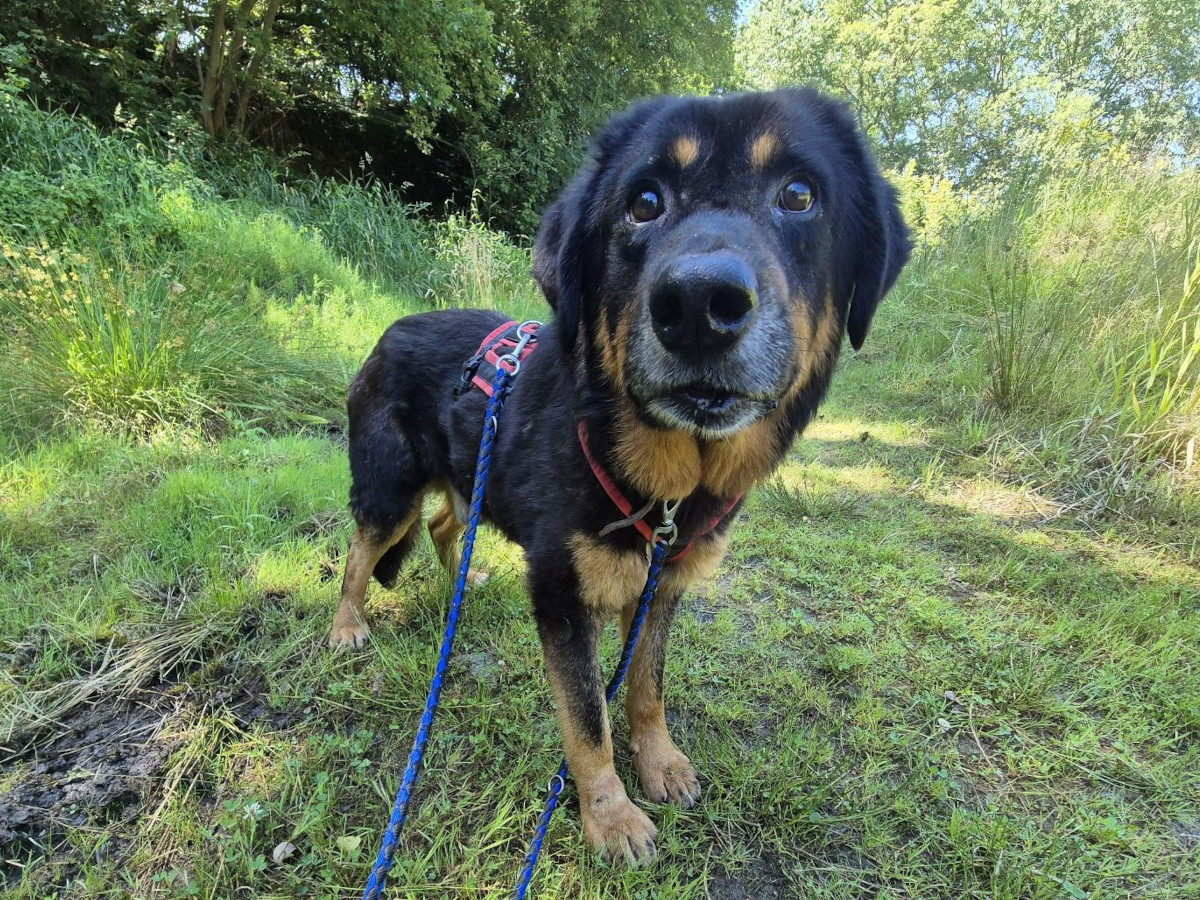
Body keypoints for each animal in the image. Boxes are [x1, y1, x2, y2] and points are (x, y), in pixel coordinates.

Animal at [328, 88, 907, 864]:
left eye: (799, 195)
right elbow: (586, 722)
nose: (698, 307)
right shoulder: (565, 600)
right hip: (389, 485)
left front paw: (658, 763)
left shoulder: (661, 585)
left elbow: (645, 687)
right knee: (362, 550)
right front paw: (610, 817)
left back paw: (462, 585)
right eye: (644, 202)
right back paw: (347, 625)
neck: (665, 486)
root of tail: (388, 331)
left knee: (449, 521)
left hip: (466, 476)